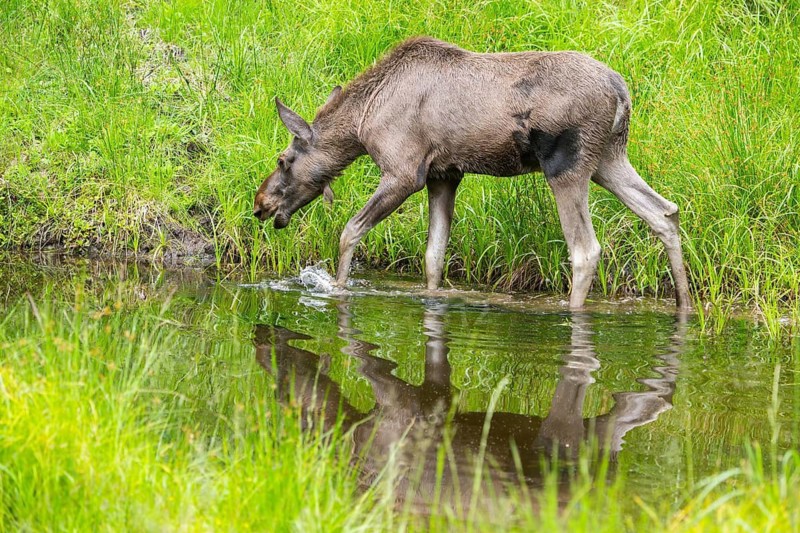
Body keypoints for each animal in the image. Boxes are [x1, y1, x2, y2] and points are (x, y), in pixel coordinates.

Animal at [253, 37, 692, 309]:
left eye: (283, 159)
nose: (260, 204)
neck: (363, 122)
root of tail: (622, 92)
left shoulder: (404, 172)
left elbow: (350, 231)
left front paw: (338, 289)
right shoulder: (444, 175)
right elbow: (433, 255)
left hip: (567, 165)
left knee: (586, 249)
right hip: (608, 160)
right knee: (664, 212)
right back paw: (684, 305)